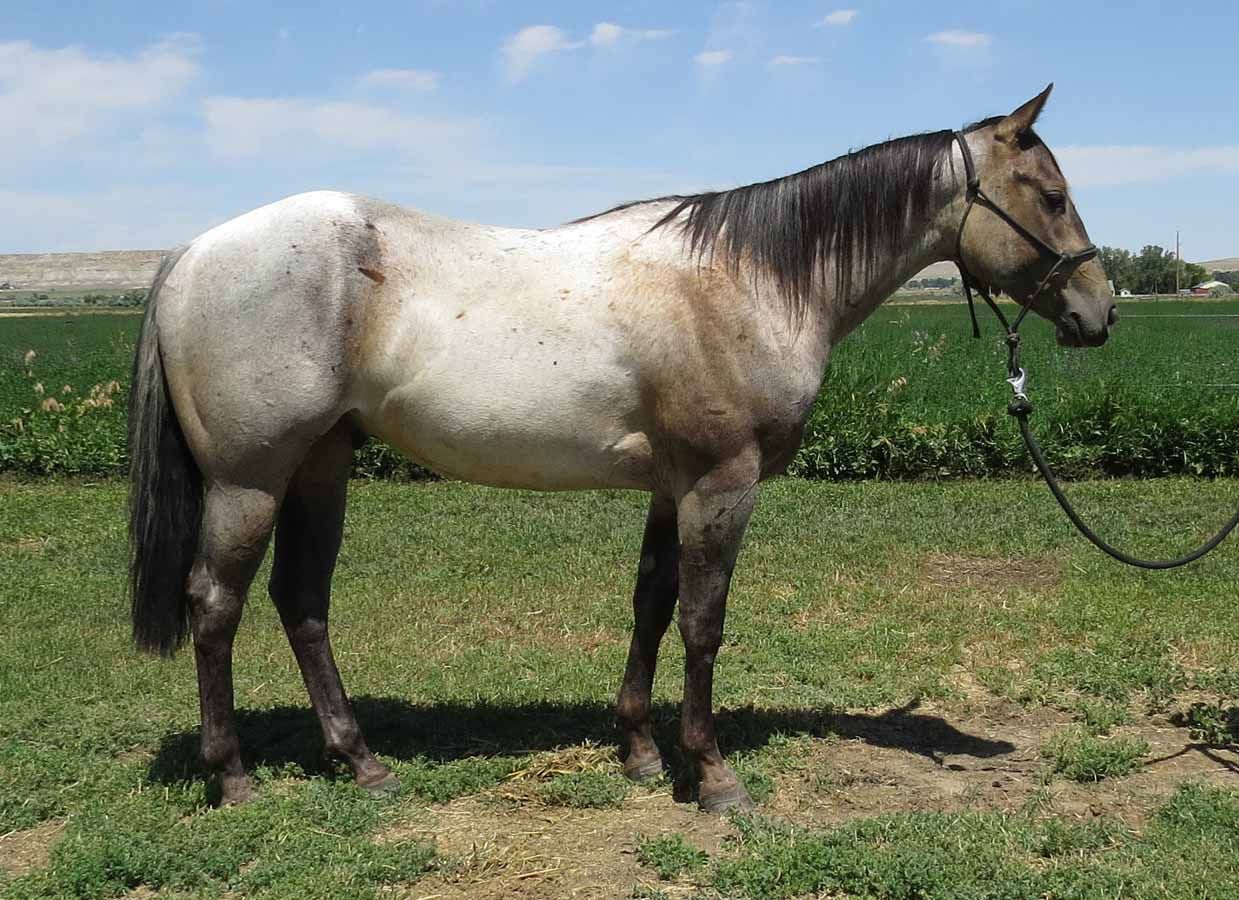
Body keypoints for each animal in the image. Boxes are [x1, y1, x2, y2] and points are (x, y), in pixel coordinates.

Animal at [128, 85, 1115, 812]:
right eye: (1052, 196)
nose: (1099, 312)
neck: (752, 278)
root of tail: (192, 254)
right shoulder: (722, 484)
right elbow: (702, 623)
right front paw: (711, 776)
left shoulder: (670, 488)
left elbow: (649, 604)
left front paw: (641, 751)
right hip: (250, 480)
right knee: (216, 606)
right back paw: (234, 778)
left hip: (321, 467)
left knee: (302, 602)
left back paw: (361, 762)